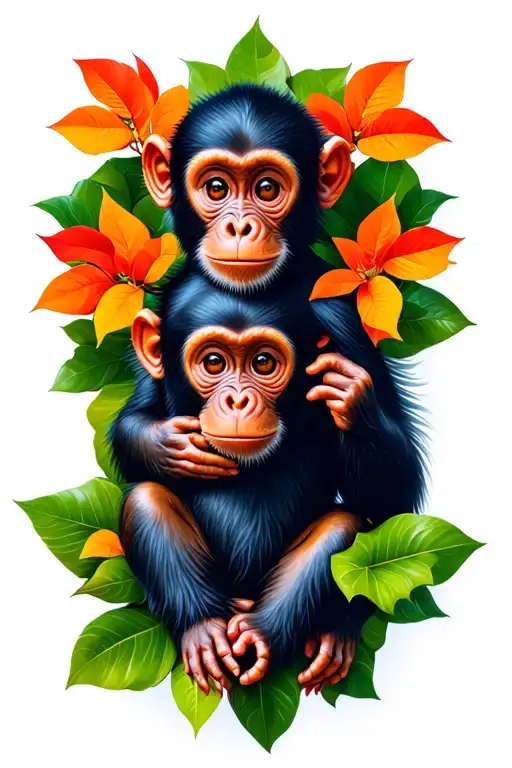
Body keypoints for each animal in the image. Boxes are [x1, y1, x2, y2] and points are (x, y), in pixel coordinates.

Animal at [110, 84, 427, 693]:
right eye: (216, 188)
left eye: (265, 189)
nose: (240, 226)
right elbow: (137, 413)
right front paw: (168, 444)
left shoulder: (347, 323)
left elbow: (396, 492)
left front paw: (352, 400)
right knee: (145, 499)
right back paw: (206, 630)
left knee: (345, 528)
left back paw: (279, 634)